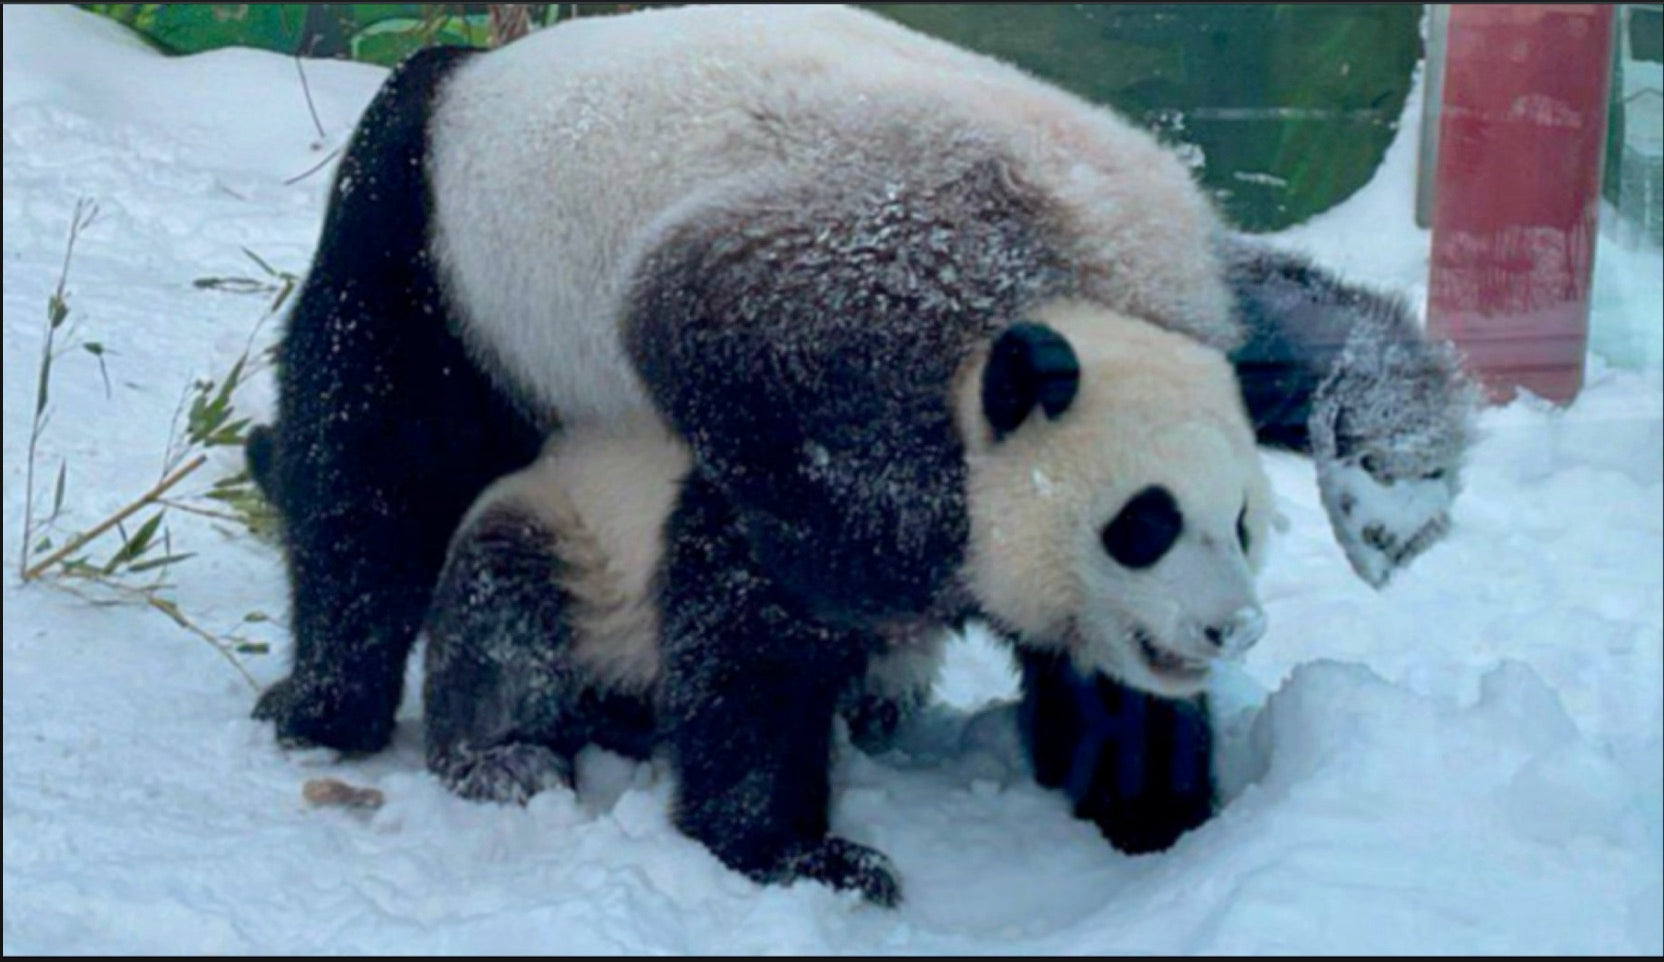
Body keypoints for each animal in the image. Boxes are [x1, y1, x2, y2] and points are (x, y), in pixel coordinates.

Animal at [420, 302, 1275, 905]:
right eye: (1147, 523)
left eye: (1241, 519)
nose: (1231, 628)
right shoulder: (811, 498)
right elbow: (749, 672)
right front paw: (817, 861)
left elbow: (1109, 703)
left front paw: (1161, 820)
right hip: (572, 532)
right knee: (507, 612)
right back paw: (509, 758)